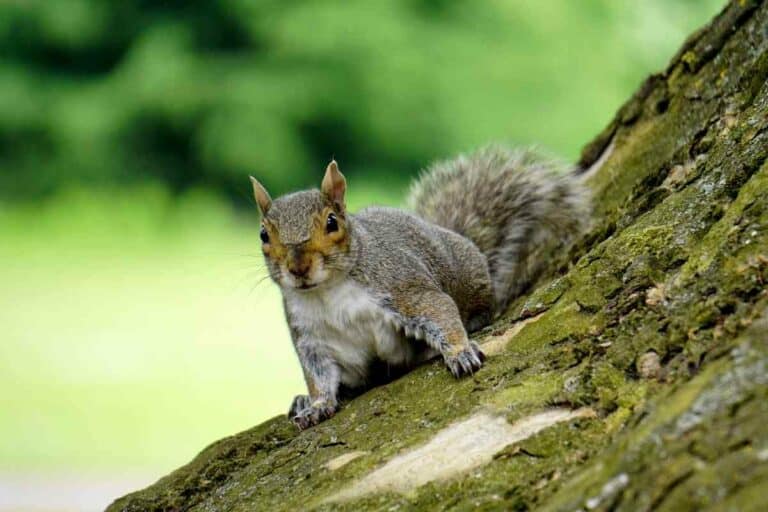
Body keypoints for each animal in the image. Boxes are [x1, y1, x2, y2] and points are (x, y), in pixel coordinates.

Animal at [249, 145, 590, 429]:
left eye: (332, 222)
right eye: (263, 235)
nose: (298, 268)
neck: (328, 292)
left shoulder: (402, 286)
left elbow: (439, 310)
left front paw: (460, 352)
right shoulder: (311, 337)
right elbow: (319, 375)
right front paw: (317, 404)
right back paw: (302, 400)